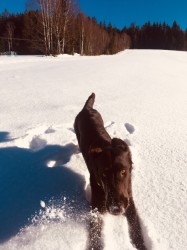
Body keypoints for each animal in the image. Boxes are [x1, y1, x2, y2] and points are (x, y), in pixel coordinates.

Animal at [74, 93, 146, 249]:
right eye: (104, 175)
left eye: (123, 172)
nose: (116, 208)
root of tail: (87, 108)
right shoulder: (96, 206)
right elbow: (95, 232)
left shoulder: (129, 200)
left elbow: (136, 228)